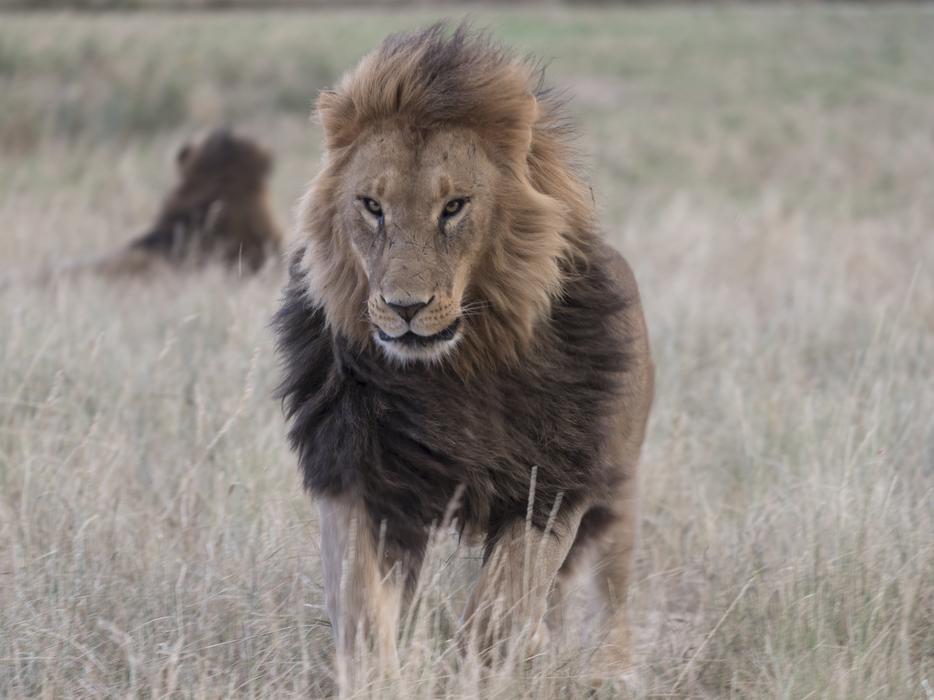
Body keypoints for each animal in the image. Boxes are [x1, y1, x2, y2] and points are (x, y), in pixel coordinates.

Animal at [274, 25, 654, 685]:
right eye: (371, 205)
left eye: (454, 207)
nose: (404, 307)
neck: (455, 373)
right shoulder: (360, 474)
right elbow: (361, 602)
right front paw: (377, 678)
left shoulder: (551, 484)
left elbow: (503, 600)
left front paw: (475, 669)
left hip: (619, 492)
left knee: (610, 595)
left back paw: (611, 668)